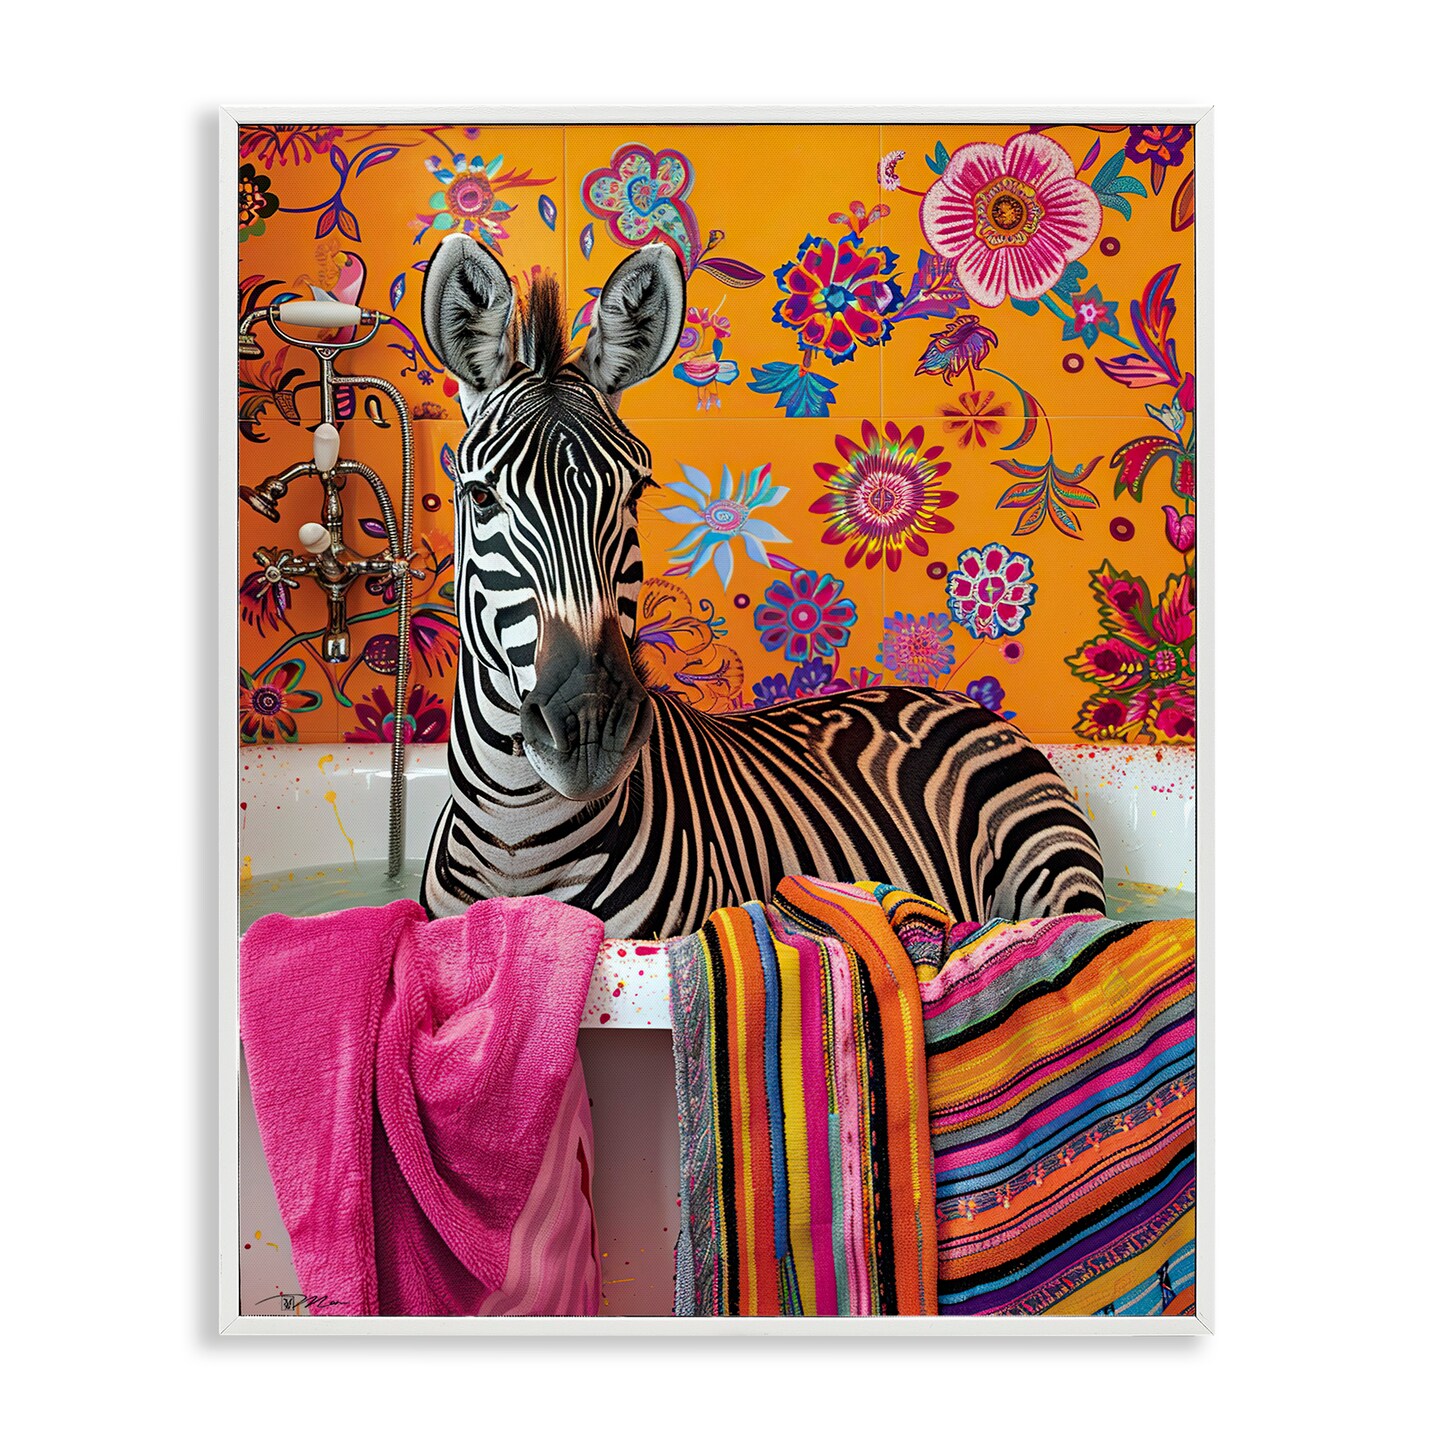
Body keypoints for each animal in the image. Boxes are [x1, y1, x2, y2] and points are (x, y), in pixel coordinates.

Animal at [418, 233, 1106, 938]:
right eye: (480, 497)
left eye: (636, 492)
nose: (592, 727)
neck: (518, 838)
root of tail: (955, 698)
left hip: (1051, 862)